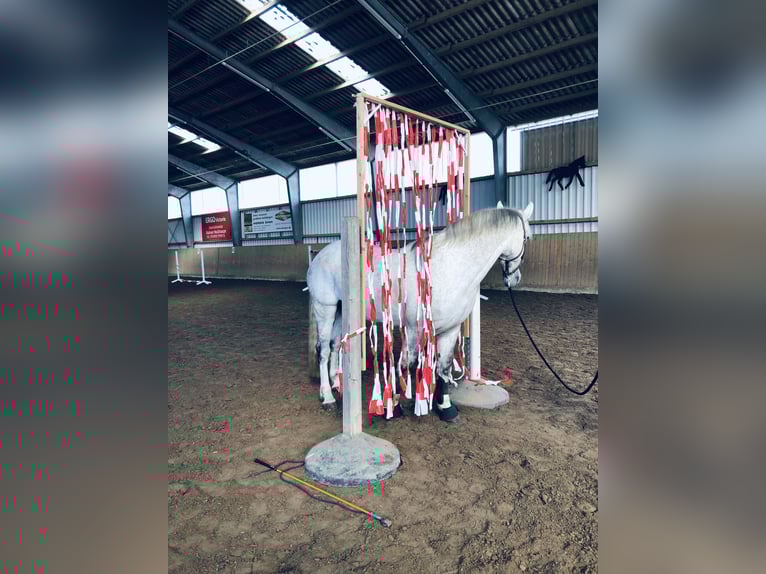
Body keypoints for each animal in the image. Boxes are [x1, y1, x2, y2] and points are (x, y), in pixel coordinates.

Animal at [306, 201, 533, 423]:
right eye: (528, 238)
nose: (515, 279)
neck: (451, 267)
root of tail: (320, 256)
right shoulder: (413, 328)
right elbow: (406, 364)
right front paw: (395, 406)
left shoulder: (451, 329)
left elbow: (443, 368)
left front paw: (445, 407)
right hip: (325, 309)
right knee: (323, 350)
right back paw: (327, 397)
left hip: (340, 311)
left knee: (335, 345)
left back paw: (337, 384)